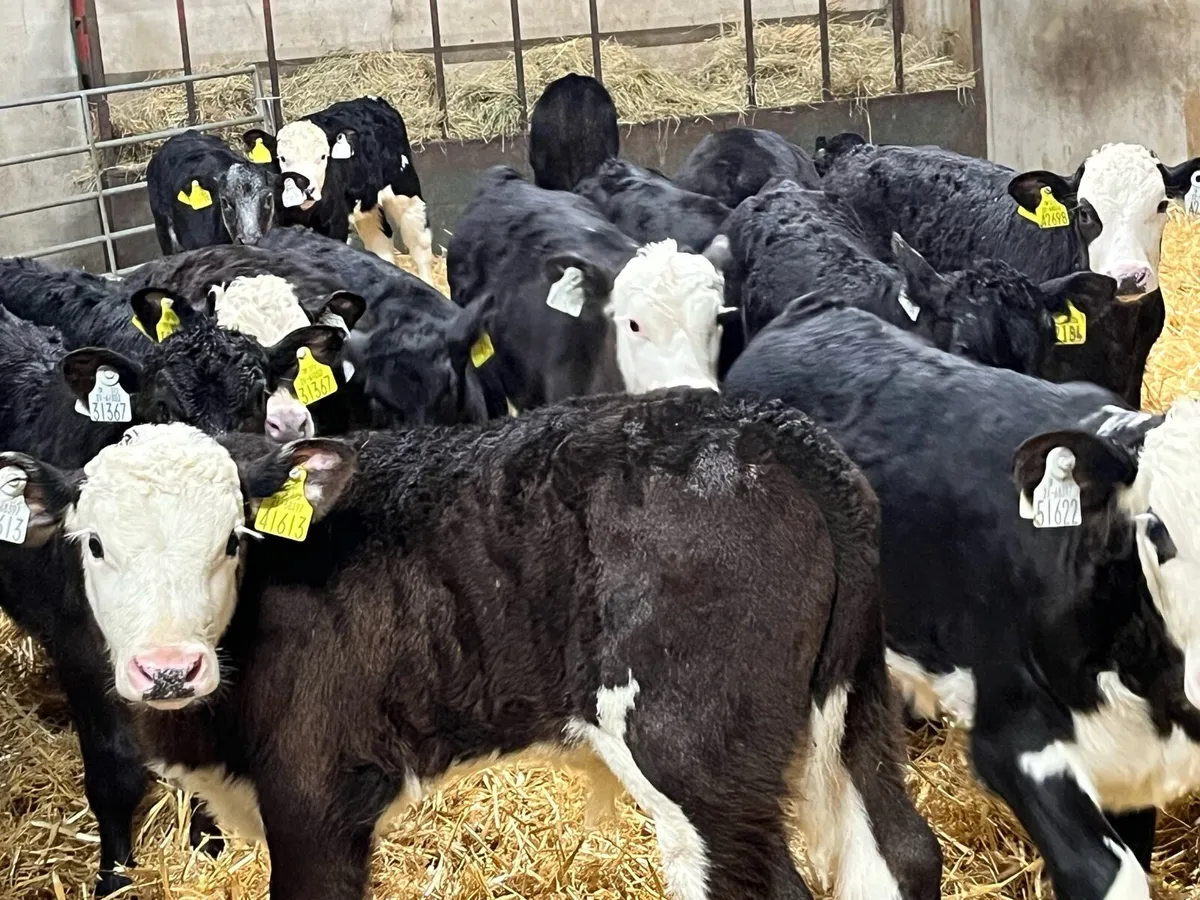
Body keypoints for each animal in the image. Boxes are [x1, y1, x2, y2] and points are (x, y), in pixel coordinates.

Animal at [0, 390, 943, 900]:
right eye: (93, 543)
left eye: (233, 540)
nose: (168, 669)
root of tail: (773, 435)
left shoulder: (318, 789)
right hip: (848, 703)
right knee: (899, 853)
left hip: (695, 752)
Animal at [242, 96, 435, 284]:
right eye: (282, 158)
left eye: (323, 156)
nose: (307, 188)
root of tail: (372, 100)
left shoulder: (335, 225)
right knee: (381, 241)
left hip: (406, 192)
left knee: (420, 245)